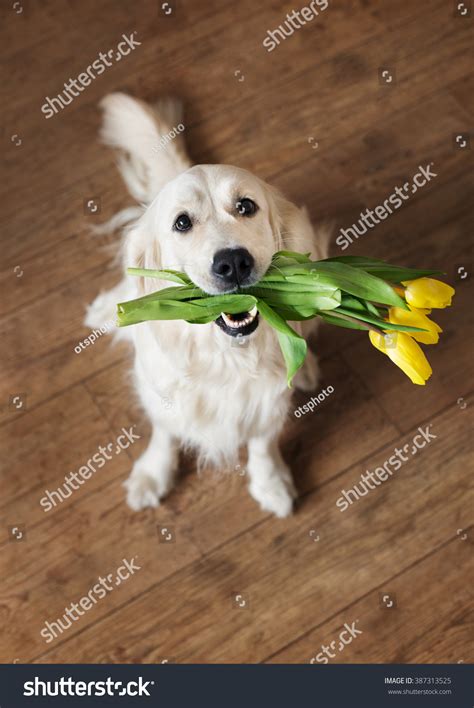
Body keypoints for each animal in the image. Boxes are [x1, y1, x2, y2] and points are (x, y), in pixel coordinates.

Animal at [86, 92, 330, 516]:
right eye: (182, 223)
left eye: (246, 206)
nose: (233, 263)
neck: (224, 356)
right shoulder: (162, 391)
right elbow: (165, 432)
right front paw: (154, 473)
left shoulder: (267, 401)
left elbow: (263, 443)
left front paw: (271, 484)